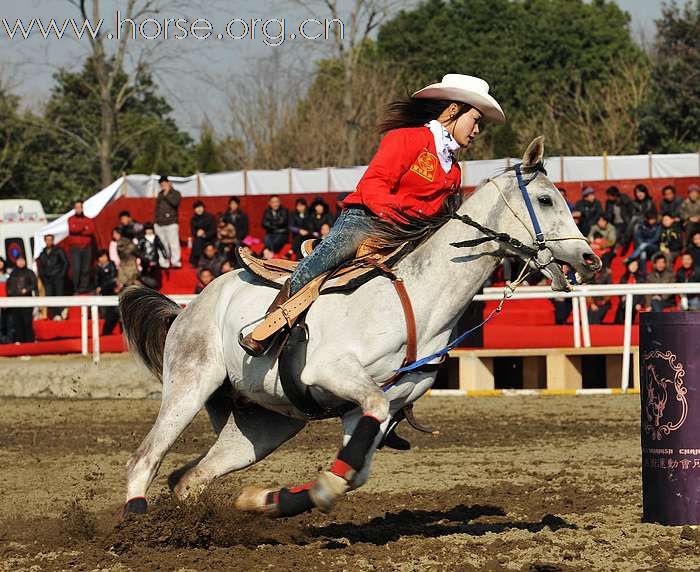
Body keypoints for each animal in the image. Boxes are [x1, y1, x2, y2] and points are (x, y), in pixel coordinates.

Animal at [120, 139, 600, 520]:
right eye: (546, 200)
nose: (590, 258)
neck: (415, 299)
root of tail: (188, 309)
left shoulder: (372, 407)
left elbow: (355, 469)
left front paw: (272, 499)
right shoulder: (336, 374)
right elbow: (356, 448)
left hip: (263, 426)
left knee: (190, 476)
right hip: (189, 385)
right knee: (146, 458)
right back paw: (137, 520)